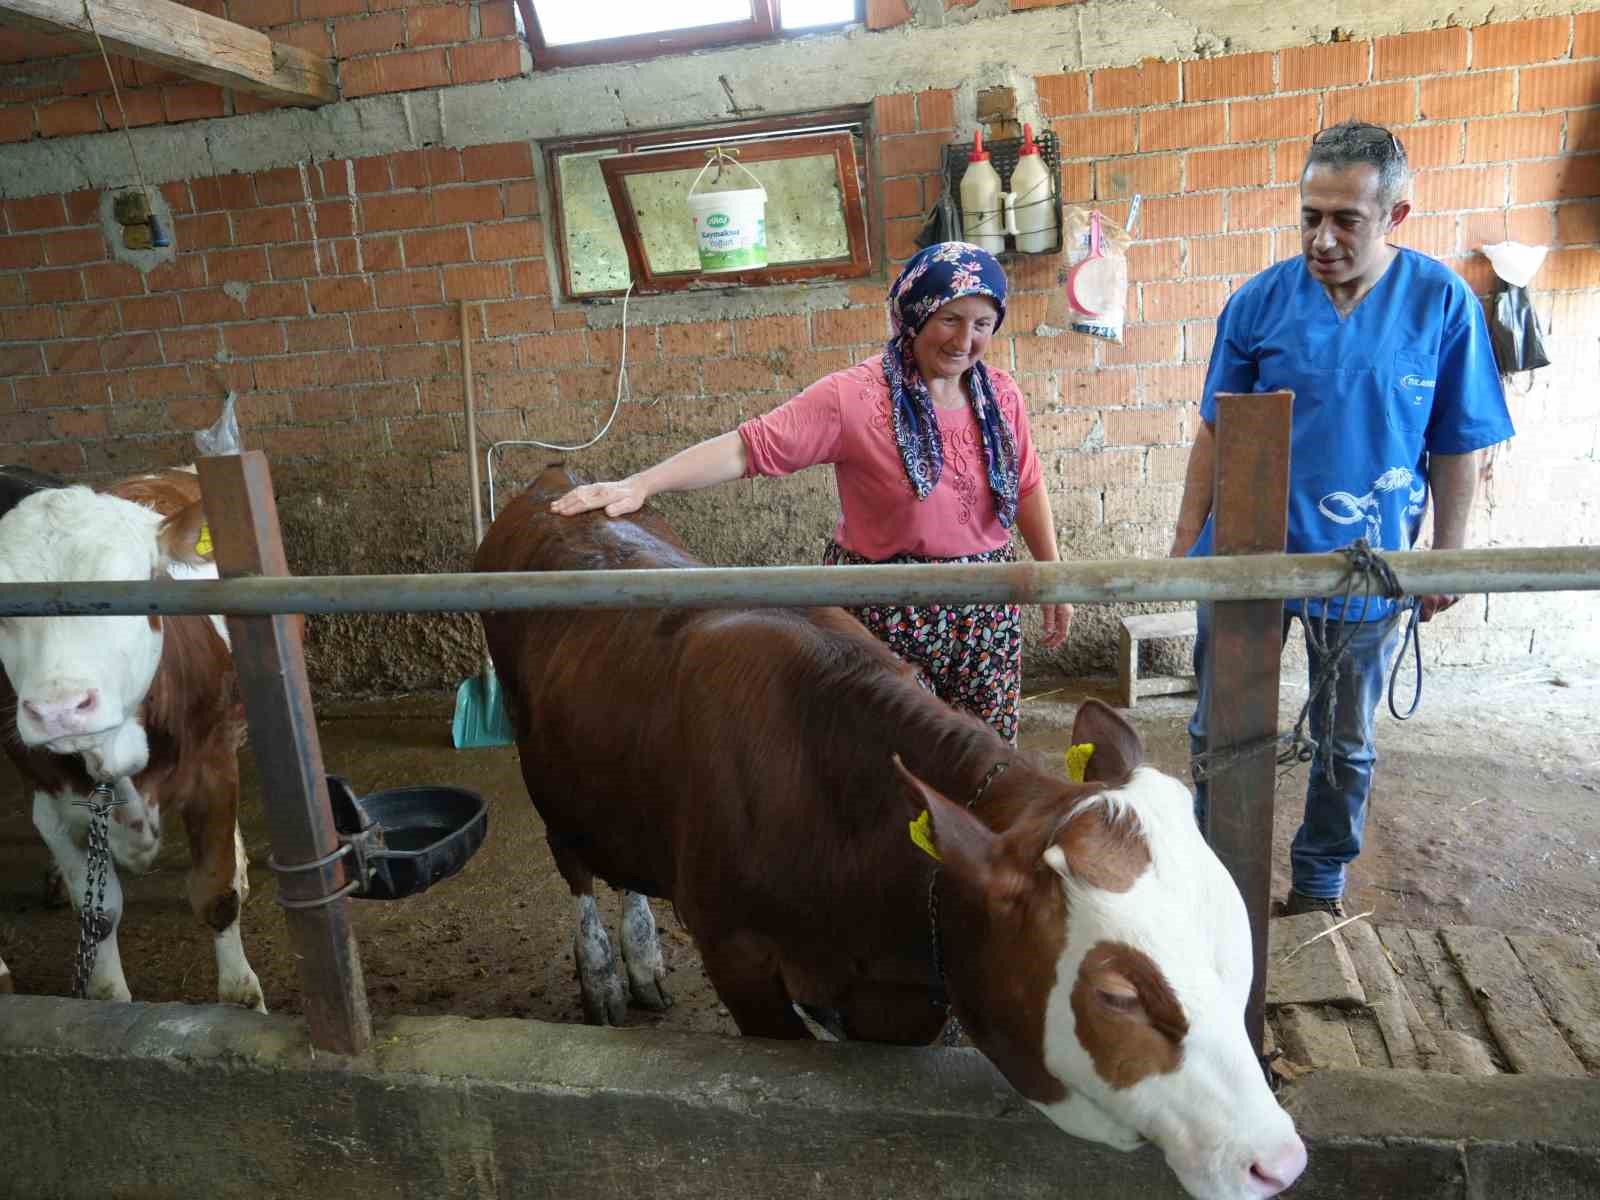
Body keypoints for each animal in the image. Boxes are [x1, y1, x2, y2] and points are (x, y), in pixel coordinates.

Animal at [0, 470, 262, 1017]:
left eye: (135, 589)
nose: (59, 709)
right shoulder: (51, 803)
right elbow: (98, 914)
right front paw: (108, 1000)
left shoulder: (213, 771)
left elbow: (217, 894)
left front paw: (243, 1001)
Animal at [480, 467, 1305, 1200]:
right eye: (1116, 997)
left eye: (1238, 946)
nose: (1279, 1159)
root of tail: (552, 479)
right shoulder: (734, 953)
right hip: (541, 763)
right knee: (576, 865)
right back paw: (606, 973)